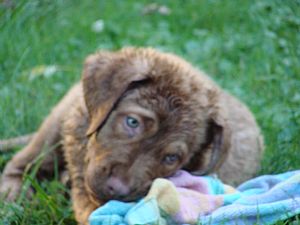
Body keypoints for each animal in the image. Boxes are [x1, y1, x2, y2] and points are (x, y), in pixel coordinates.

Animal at [0, 47, 262, 223]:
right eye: (132, 122)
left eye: (171, 158)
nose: (116, 189)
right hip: (57, 123)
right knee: (22, 162)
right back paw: (13, 195)